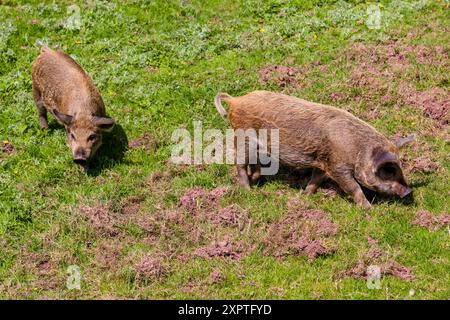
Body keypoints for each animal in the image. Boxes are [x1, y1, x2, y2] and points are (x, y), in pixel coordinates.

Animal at [214, 91, 412, 209]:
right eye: (388, 171)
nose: (409, 191)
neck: (356, 149)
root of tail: (236, 100)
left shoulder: (323, 161)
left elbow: (315, 179)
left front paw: (305, 195)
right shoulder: (337, 167)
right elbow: (353, 187)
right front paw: (369, 209)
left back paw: (255, 181)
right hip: (243, 138)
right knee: (239, 164)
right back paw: (248, 191)